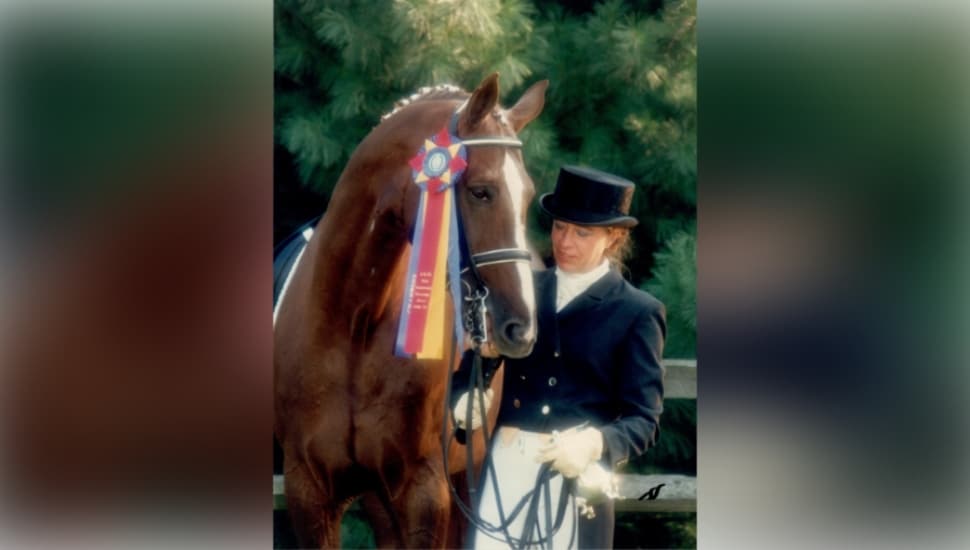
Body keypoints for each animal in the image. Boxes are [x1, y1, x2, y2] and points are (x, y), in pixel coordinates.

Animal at [274, 73, 548, 548]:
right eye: (481, 191)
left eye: (528, 195)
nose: (521, 328)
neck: (355, 323)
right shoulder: (308, 490)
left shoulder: (424, 491)